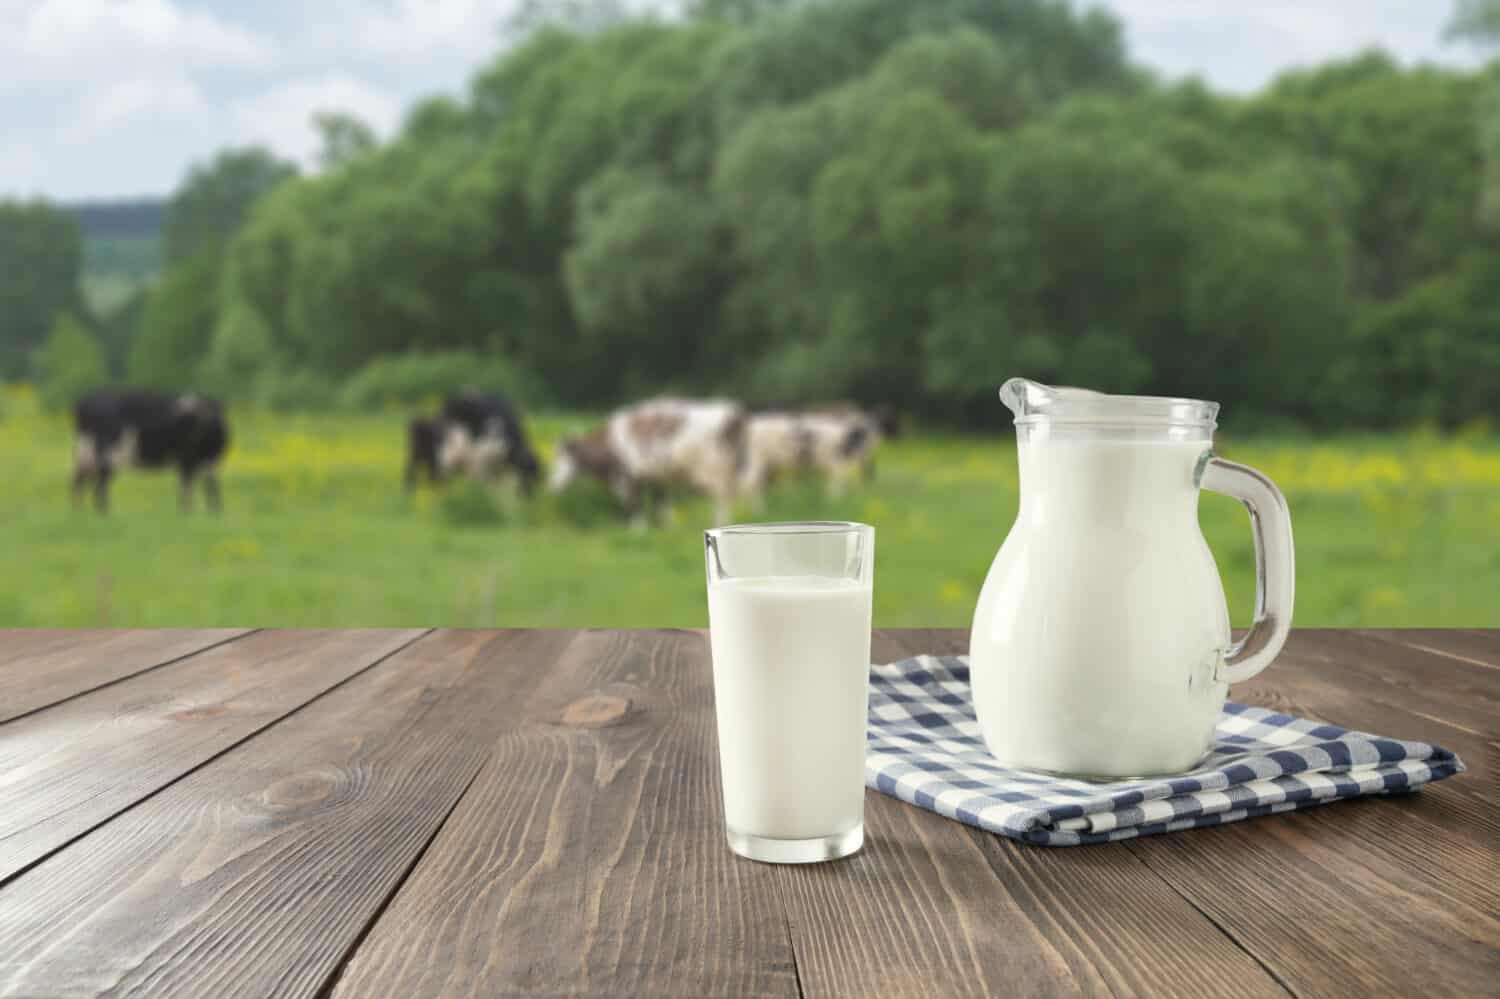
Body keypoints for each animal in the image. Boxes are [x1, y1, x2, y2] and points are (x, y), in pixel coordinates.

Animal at [72, 390, 229, 513]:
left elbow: (205, 485)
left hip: (86, 453)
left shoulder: (201, 461)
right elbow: (191, 486)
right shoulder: (188, 460)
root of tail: (85, 402)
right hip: (106, 453)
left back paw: (81, 511)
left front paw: (212, 512)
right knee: (99, 482)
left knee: (81, 480)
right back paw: (104, 513)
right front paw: (190, 512)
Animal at [402, 393, 543, 495]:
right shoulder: (481, 460)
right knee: (429, 475)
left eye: (537, 476)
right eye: (529, 473)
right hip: (444, 456)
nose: (529, 497)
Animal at [549, 396, 750, 525]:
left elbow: (634, 506)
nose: (552, 484)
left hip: (716, 473)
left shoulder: (627, 478)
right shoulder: (656, 478)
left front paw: (638, 531)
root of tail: (731, 412)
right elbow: (661, 506)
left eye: (563, 457)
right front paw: (667, 528)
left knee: (721, 501)